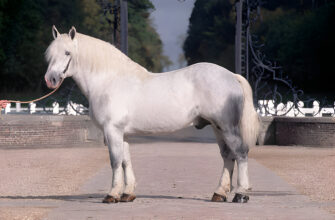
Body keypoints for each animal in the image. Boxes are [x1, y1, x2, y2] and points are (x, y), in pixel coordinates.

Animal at [44, 26, 260, 204]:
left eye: (67, 52)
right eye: (49, 54)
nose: (50, 79)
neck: (109, 80)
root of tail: (232, 76)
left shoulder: (112, 130)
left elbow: (115, 161)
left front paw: (112, 194)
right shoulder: (122, 133)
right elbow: (125, 161)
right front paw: (127, 194)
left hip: (228, 127)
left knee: (240, 153)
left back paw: (241, 194)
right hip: (217, 128)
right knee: (227, 156)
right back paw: (220, 193)